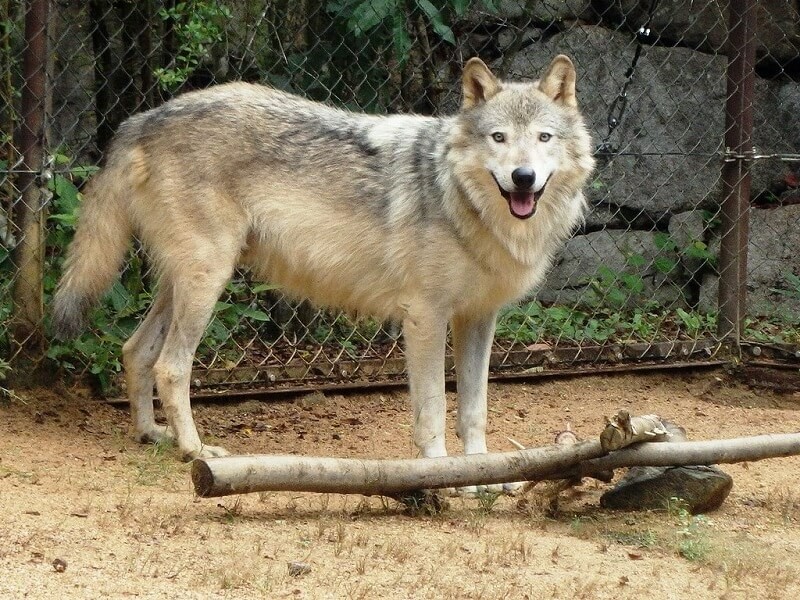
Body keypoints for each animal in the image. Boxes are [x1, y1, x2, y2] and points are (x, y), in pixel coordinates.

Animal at [51, 55, 592, 488]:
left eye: (543, 138)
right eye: (498, 138)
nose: (523, 177)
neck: (467, 205)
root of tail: (140, 119)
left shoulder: (478, 318)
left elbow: (475, 411)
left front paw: (484, 475)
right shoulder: (425, 317)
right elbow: (434, 410)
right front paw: (443, 476)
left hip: (184, 282)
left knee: (133, 349)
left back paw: (151, 435)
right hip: (206, 281)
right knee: (170, 366)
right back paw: (195, 450)